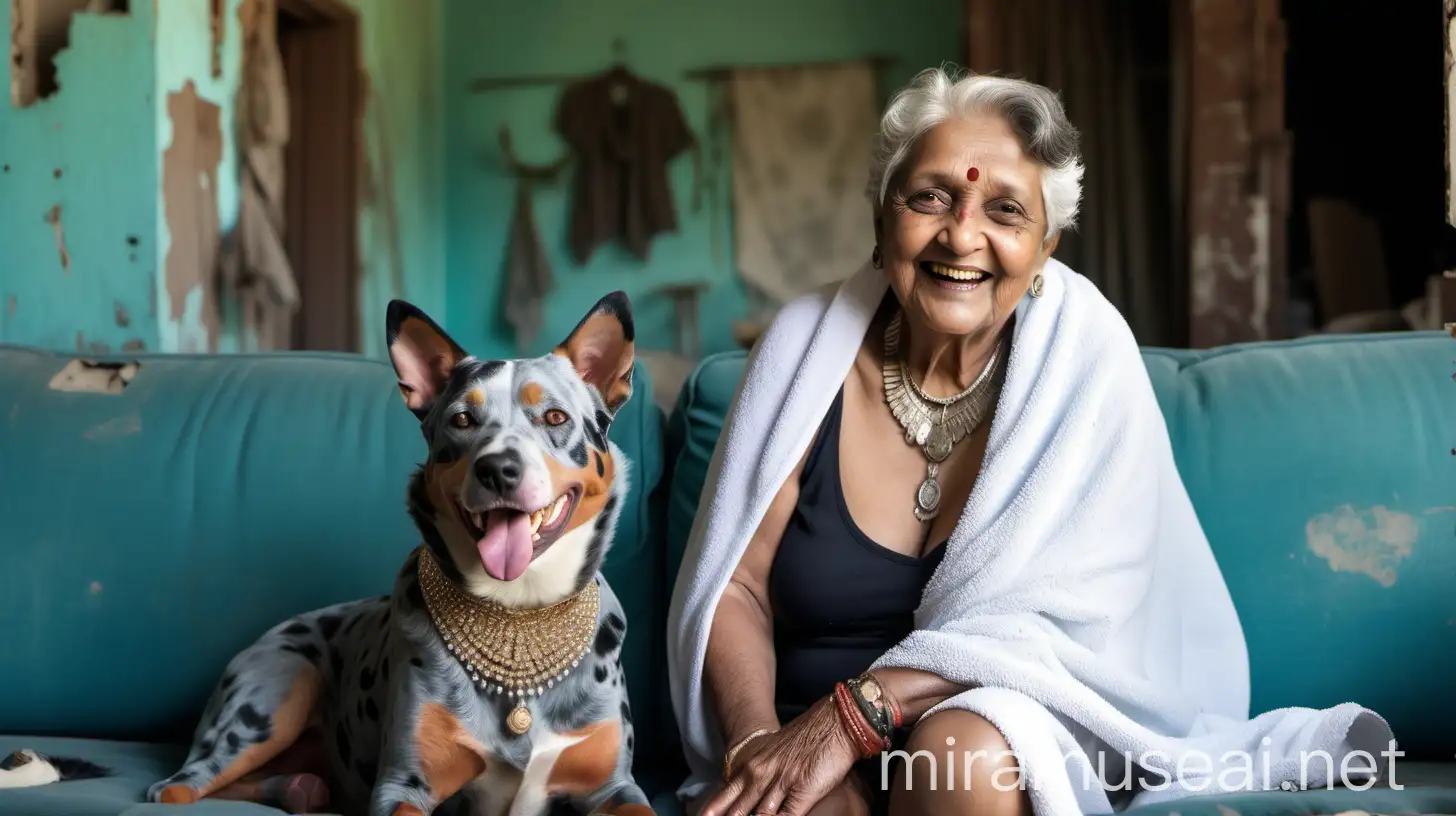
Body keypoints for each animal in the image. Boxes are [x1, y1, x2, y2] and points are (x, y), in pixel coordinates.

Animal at [146, 292, 649, 816]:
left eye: (554, 417)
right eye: (462, 420)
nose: (498, 469)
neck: (518, 612)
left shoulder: (616, 786)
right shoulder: (402, 785)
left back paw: (299, 787)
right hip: (280, 688)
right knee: (178, 787)